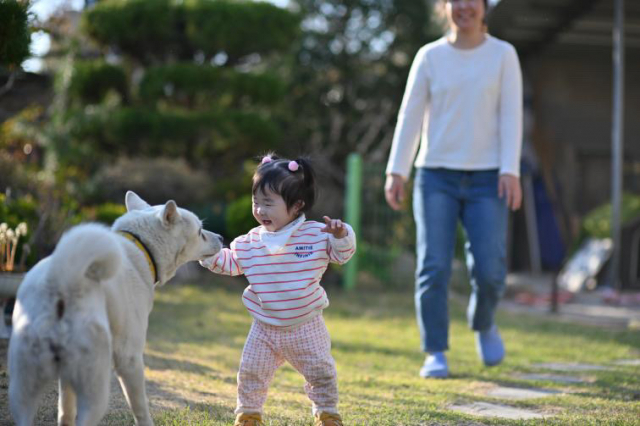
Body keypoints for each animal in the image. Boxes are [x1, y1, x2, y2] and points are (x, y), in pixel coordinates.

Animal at [6, 191, 222, 424]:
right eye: (200, 232)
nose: (222, 238)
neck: (140, 248)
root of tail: (63, 278)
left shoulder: (66, 378)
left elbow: (65, 410)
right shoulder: (130, 359)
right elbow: (141, 409)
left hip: (22, 389)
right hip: (97, 388)